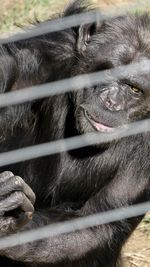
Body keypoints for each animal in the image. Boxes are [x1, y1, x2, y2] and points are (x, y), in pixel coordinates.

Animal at [0, 0, 150, 267]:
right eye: (108, 73)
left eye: (135, 89)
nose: (112, 103)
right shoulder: (51, 49)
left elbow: (95, 224)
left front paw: (7, 224)